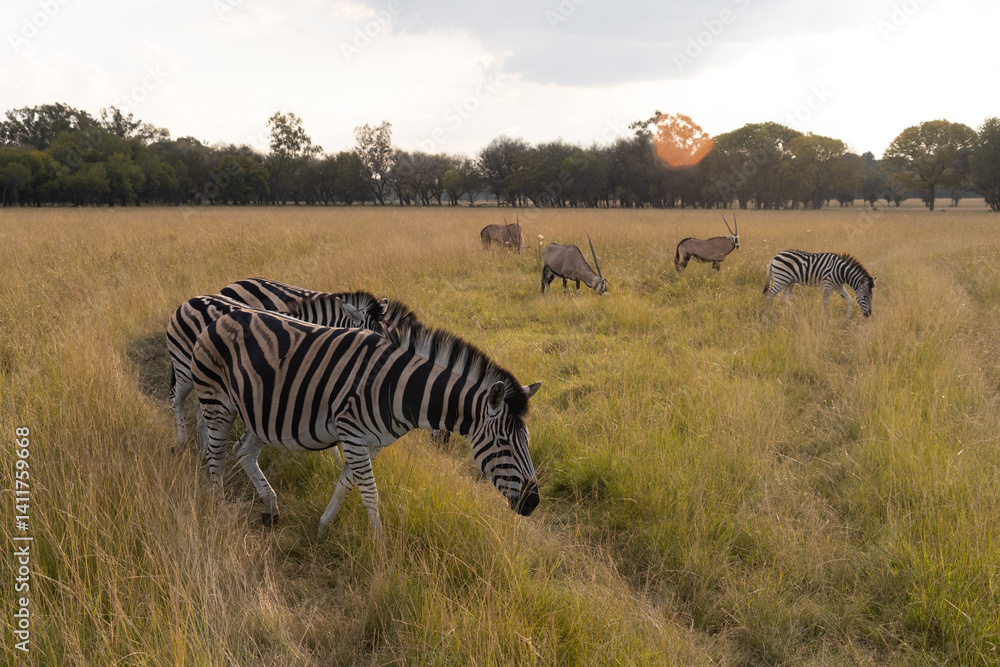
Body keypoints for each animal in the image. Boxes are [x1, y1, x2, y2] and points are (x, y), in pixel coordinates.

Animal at [166, 290, 387, 450]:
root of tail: (190, 300)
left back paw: (204, 449)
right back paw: (181, 441)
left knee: (200, 410)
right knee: (176, 399)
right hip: (185, 367)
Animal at [191, 309, 542, 537]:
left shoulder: (372, 443)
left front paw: (322, 527)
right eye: (503, 444)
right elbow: (370, 491)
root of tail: (221, 318)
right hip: (217, 402)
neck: (399, 388)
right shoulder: (353, 435)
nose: (533, 503)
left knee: (243, 452)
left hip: (260, 412)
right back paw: (220, 511)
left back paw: (272, 508)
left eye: (527, 441)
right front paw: (380, 547)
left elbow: (346, 484)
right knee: (215, 457)